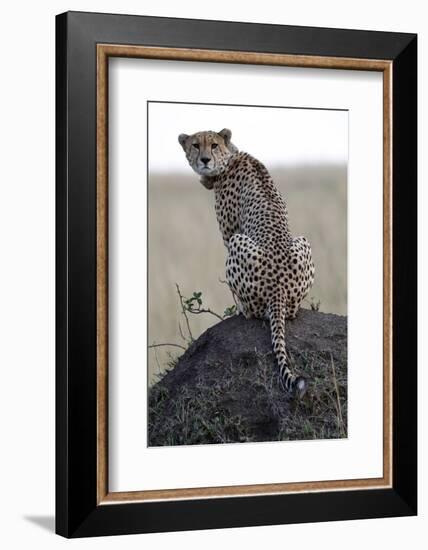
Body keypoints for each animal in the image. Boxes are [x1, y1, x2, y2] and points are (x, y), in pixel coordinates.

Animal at [177, 128, 314, 398]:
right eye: (196, 145)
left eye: (214, 145)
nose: (205, 160)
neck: (229, 157)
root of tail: (279, 289)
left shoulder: (230, 233)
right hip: (303, 241)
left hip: (238, 242)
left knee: (252, 311)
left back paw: (241, 309)